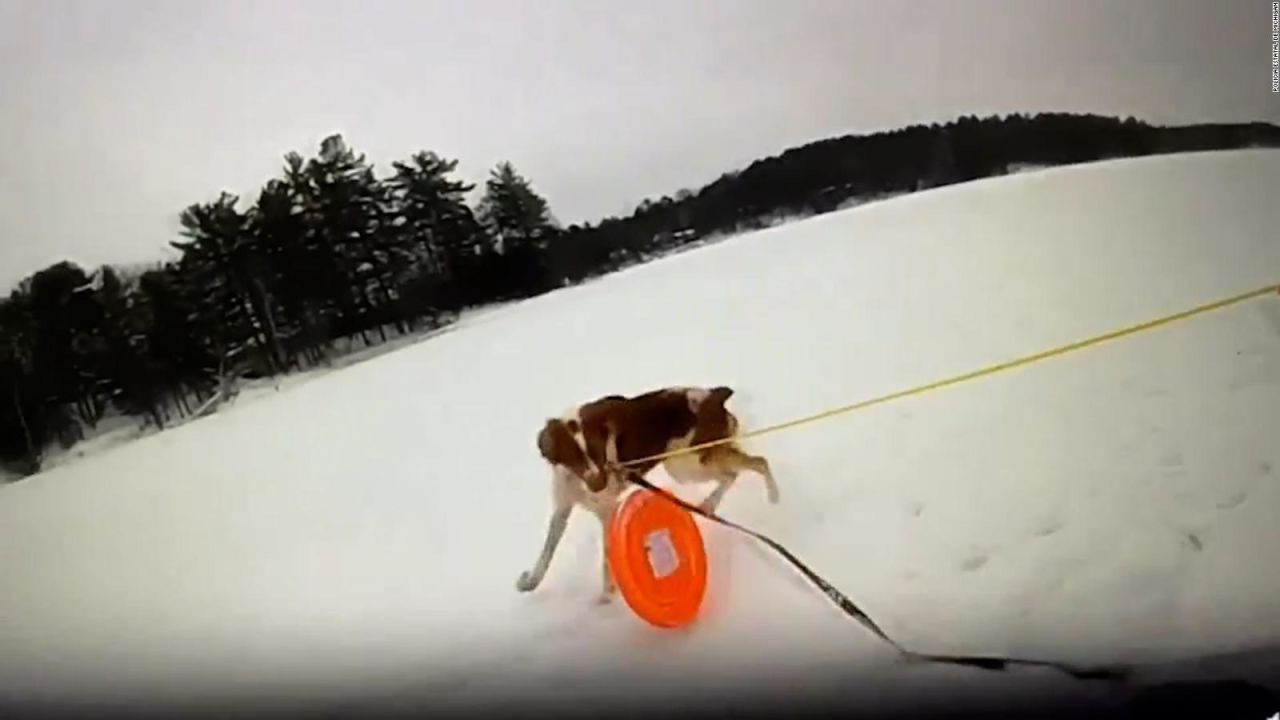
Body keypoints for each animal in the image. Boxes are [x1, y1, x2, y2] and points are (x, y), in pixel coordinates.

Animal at [512, 386, 773, 599]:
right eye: (573, 458)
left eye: (598, 451)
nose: (601, 484)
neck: (579, 481)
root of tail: (714, 395)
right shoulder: (562, 507)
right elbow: (546, 552)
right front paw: (531, 582)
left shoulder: (608, 511)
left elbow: (607, 555)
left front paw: (606, 594)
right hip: (688, 464)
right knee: (733, 473)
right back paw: (710, 505)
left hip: (687, 464)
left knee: (755, 464)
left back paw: (772, 495)